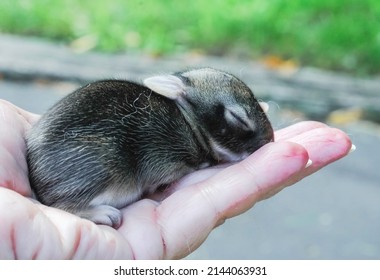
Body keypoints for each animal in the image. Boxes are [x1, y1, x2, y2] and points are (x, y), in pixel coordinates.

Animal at [27, 68, 276, 228]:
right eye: (238, 118)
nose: (269, 141)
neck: (189, 123)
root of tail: (36, 177)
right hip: (103, 167)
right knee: (60, 204)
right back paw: (103, 214)